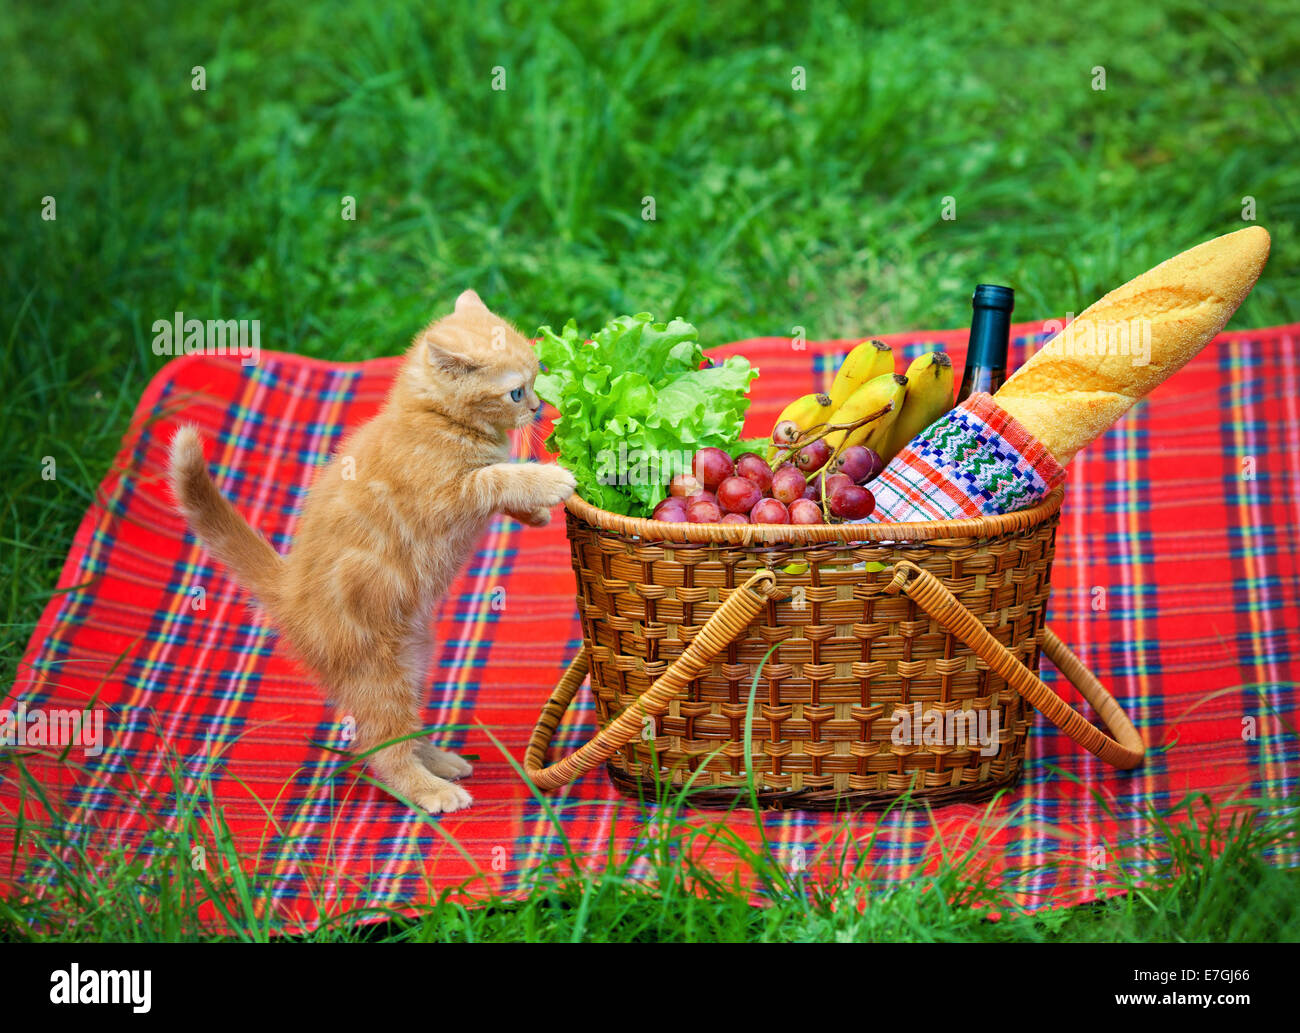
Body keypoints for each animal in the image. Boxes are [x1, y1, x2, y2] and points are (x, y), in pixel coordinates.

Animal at [170, 291, 577, 816]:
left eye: (536, 377)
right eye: (515, 392)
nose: (539, 406)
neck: (433, 419)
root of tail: (288, 592)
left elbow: (498, 482)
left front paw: (535, 514)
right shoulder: (444, 497)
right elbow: (496, 476)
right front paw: (546, 481)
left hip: (414, 655)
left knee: (402, 731)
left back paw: (439, 759)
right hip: (377, 671)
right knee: (382, 747)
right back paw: (431, 789)